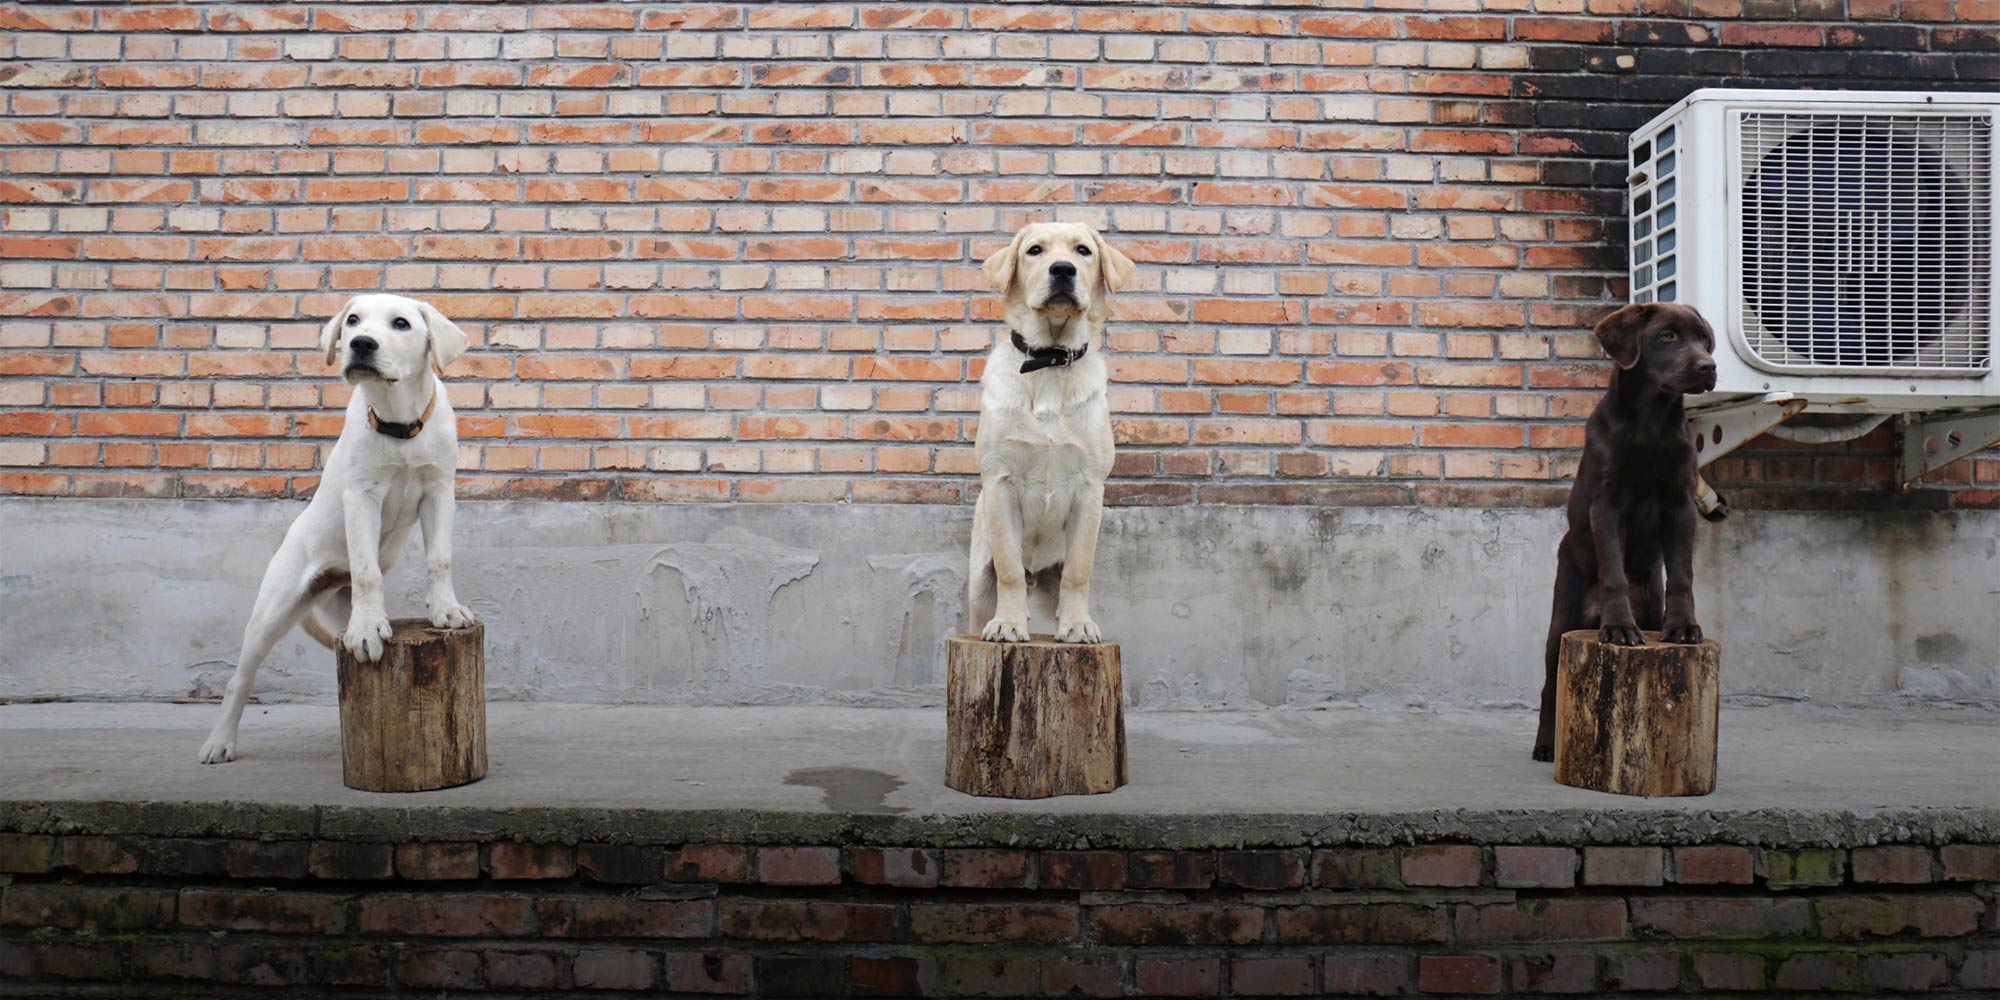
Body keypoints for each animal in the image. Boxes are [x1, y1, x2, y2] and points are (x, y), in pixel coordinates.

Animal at [197, 292, 474, 760]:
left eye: (401, 324)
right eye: (353, 321)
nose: (361, 344)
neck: (398, 424)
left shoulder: (439, 491)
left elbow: (440, 558)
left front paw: (446, 610)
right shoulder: (360, 497)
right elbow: (366, 570)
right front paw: (367, 631)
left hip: (336, 603)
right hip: (272, 610)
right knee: (241, 677)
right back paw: (220, 741)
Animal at [972, 221, 1136, 640]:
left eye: (1083, 251)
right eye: (1034, 250)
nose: (1062, 270)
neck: (1049, 361)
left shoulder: (1089, 489)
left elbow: (1078, 572)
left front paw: (1078, 626)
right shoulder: (999, 483)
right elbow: (1010, 569)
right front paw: (1009, 623)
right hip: (978, 580)